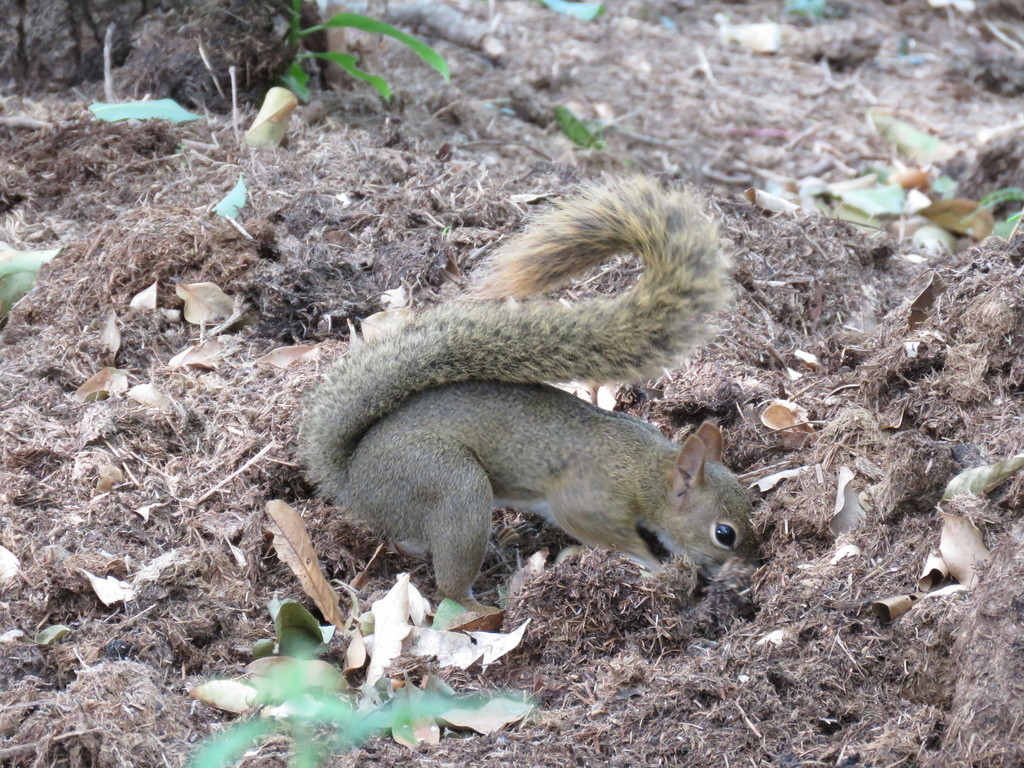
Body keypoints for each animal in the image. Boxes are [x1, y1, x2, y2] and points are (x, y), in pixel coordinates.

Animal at [299, 177, 758, 611]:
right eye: (724, 533)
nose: (751, 568)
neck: (645, 470)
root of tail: (353, 482)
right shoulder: (587, 504)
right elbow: (610, 536)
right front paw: (658, 568)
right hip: (449, 484)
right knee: (449, 583)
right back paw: (486, 609)